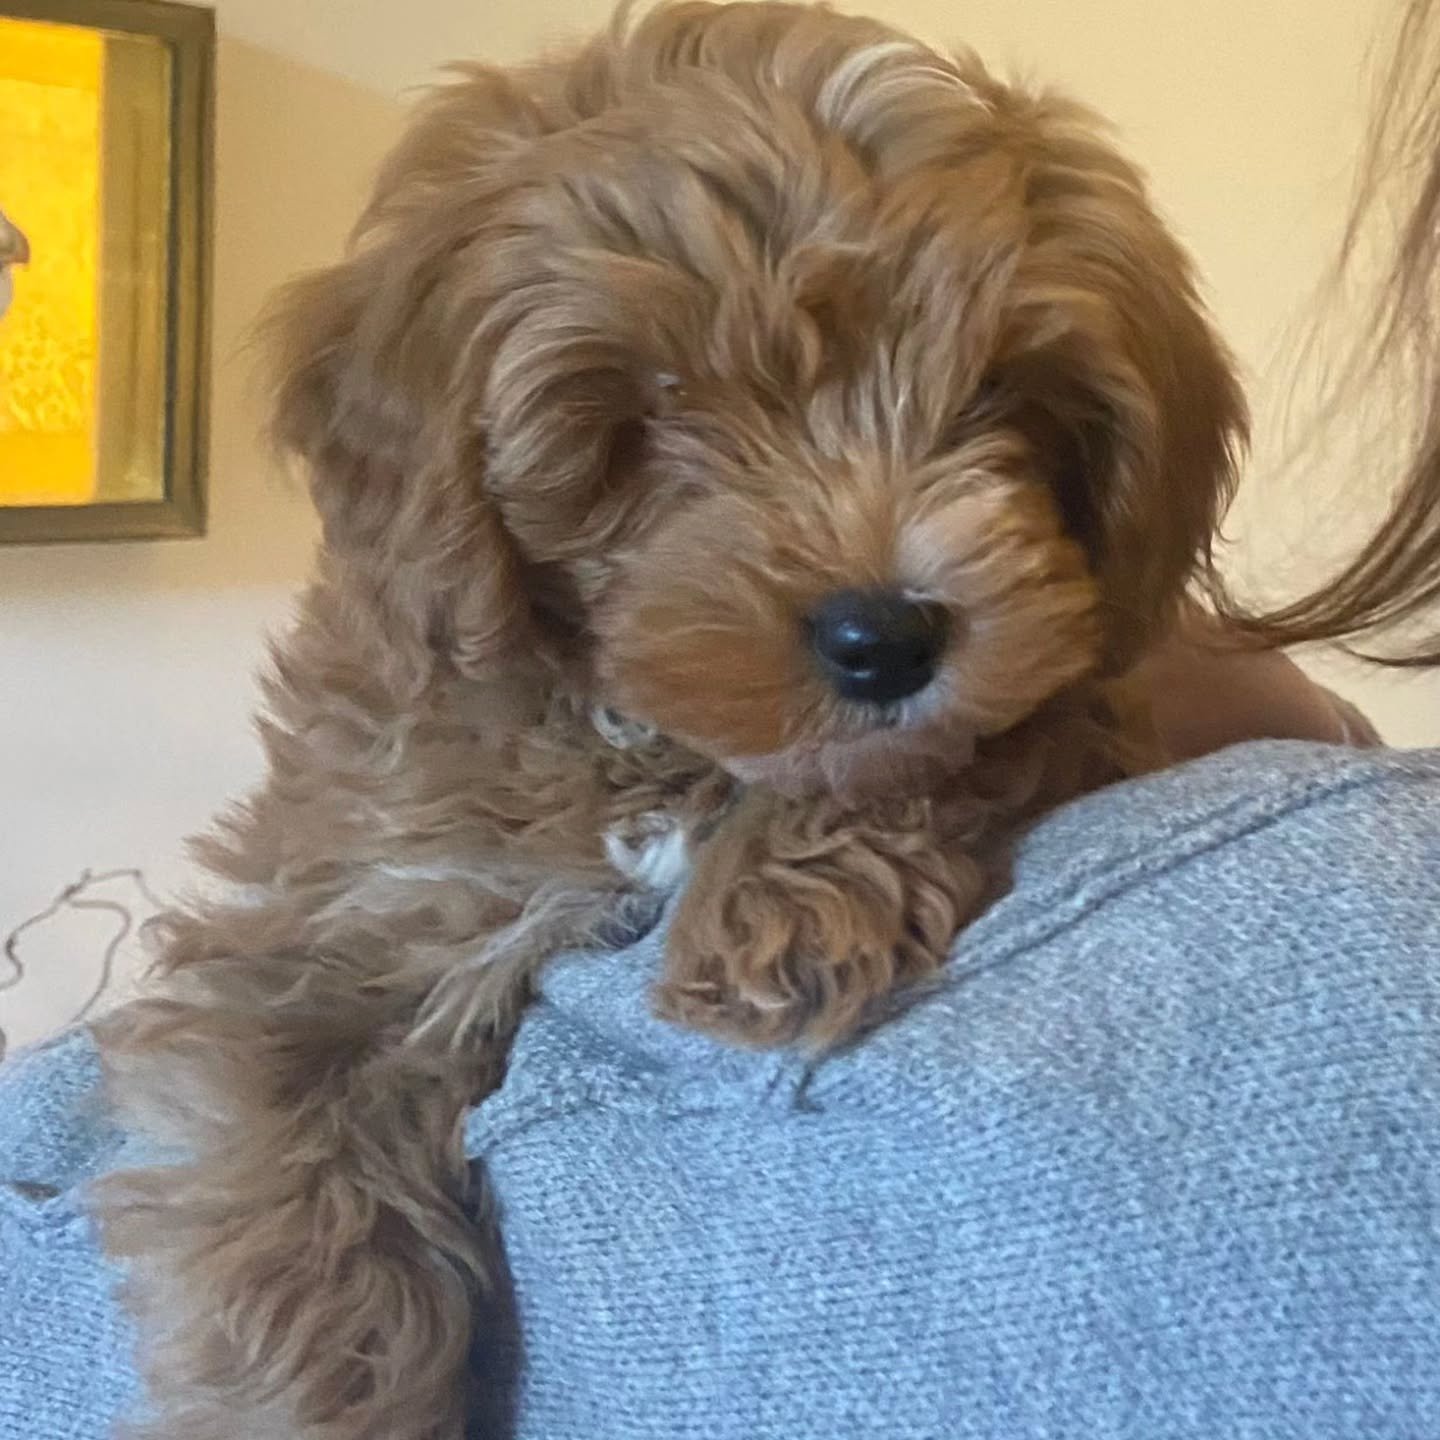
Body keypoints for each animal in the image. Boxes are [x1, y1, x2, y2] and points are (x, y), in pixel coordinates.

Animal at [93, 4, 1246, 1436]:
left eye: (1004, 395)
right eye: (655, 408)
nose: (885, 638)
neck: (641, 745)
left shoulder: (1078, 692)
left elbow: (973, 740)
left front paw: (781, 905)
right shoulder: (340, 915)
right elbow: (282, 1173)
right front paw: (295, 1396)